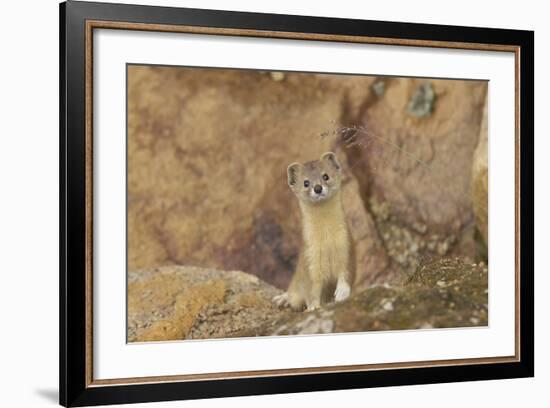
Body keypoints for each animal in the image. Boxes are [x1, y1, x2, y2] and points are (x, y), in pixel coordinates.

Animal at [274, 151, 356, 310]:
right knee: (293, 292)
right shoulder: (310, 258)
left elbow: (346, 272)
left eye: (325, 176)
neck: (327, 240)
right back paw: (282, 299)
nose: (317, 188)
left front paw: (342, 292)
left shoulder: (346, 244)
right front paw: (313, 307)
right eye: (306, 183)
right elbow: (312, 289)